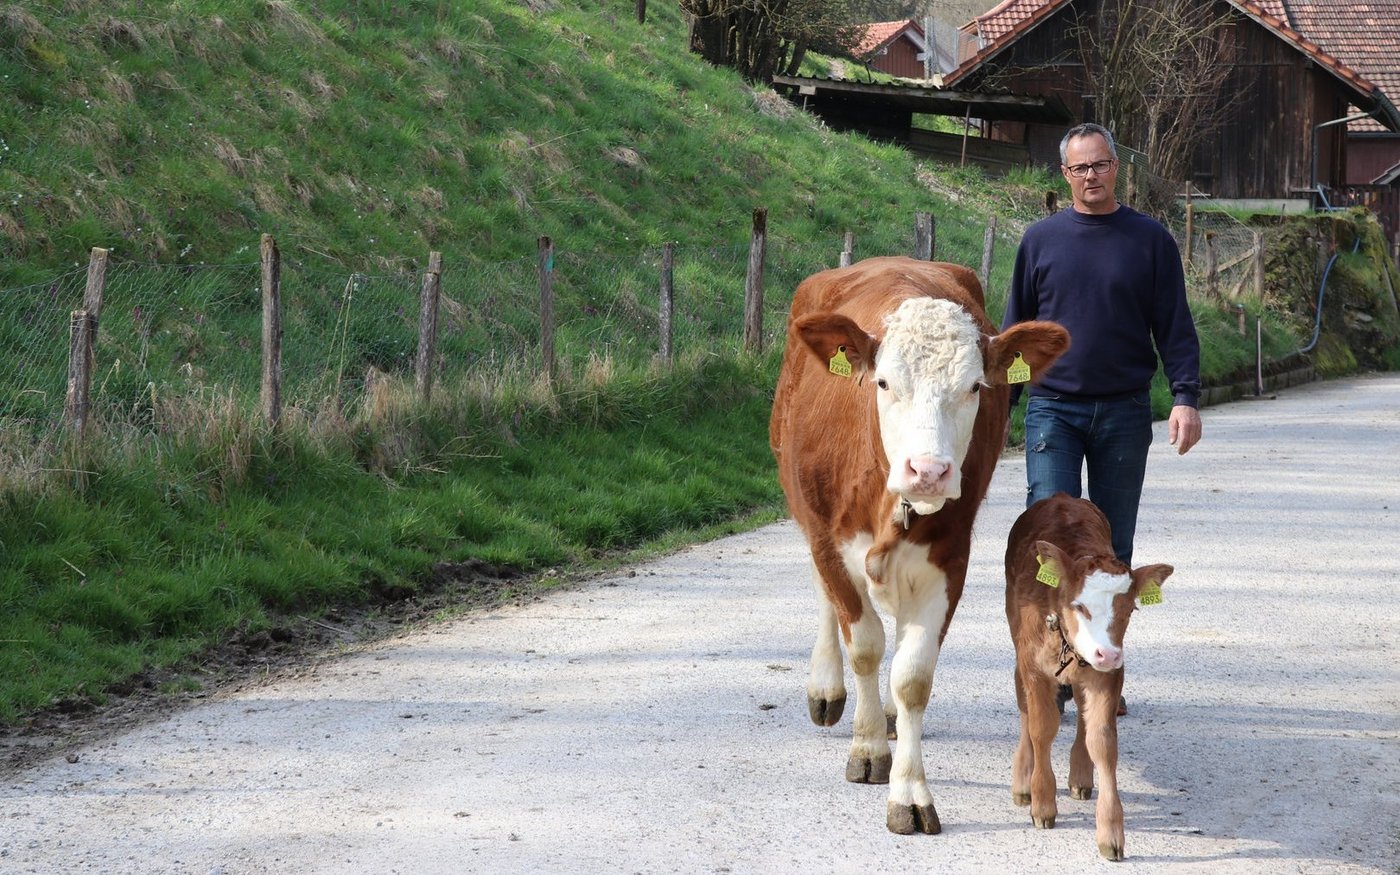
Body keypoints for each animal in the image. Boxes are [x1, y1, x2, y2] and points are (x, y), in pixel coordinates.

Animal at [769, 255, 1070, 834]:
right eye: (883, 382)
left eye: (975, 386)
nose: (928, 471)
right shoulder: (830, 541)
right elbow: (863, 644)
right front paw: (867, 750)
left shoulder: (949, 560)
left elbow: (912, 677)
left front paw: (908, 792)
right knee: (827, 601)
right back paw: (827, 688)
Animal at [1004, 492, 1174, 860]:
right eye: (1079, 606)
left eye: (1130, 609)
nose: (1107, 653)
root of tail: (1061, 498)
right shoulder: (1033, 665)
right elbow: (1041, 727)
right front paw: (1042, 803)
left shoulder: (1109, 675)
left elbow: (1103, 741)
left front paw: (1111, 834)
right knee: (1024, 709)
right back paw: (1023, 780)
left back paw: (1081, 778)